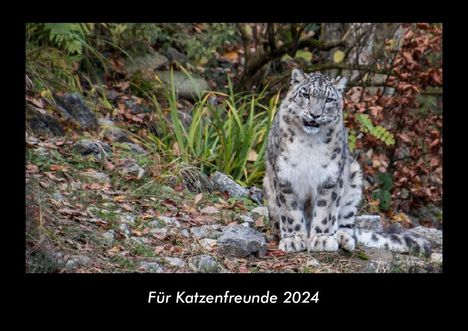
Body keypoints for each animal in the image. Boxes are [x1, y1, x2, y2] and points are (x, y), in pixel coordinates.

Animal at [264, 69, 432, 256]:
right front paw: (293, 239)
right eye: (306, 95)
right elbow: (290, 210)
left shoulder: (330, 177)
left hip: (354, 179)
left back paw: (343, 238)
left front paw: (322, 239)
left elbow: (326, 210)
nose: (315, 114)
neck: (309, 141)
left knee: (348, 223)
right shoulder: (284, 176)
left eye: (329, 100)